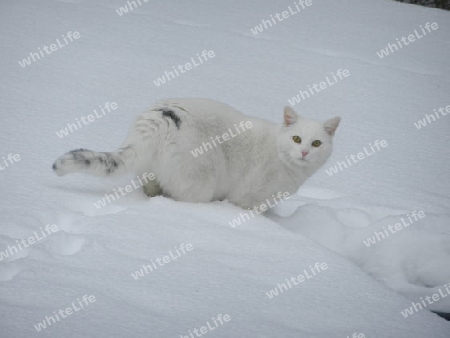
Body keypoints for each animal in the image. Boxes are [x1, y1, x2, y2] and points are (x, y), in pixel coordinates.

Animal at [52, 97, 340, 209]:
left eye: (316, 143)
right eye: (296, 138)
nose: (304, 152)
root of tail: (161, 118)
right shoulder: (248, 199)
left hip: (151, 171)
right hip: (199, 182)